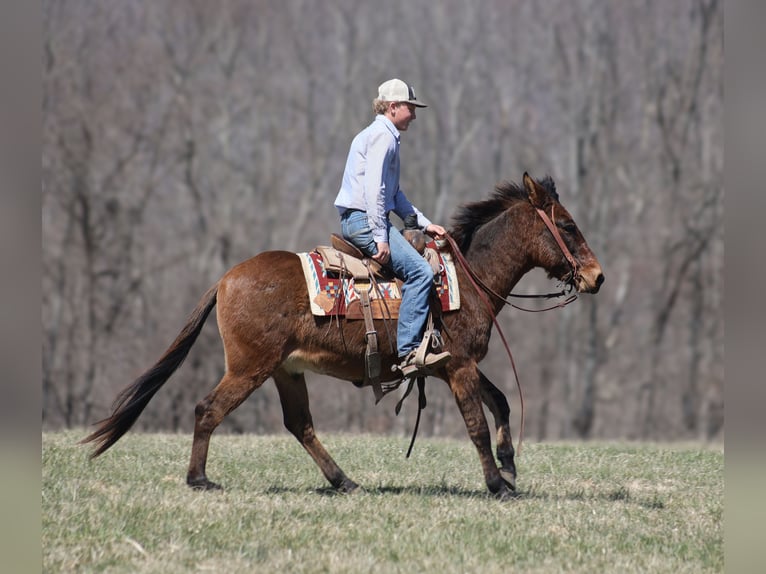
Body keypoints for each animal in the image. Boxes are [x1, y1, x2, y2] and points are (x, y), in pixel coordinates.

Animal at [83, 173, 604, 500]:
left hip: (286, 371)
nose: (597, 277)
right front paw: (497, 485)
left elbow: (501, 402)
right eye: (566, 225)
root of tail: (226, 279)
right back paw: (199, 479)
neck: (466, 278)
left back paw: (343, 481)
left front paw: (509, 465)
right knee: (208, 409)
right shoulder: (458, 368)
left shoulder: (450, 366)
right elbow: (476, 423)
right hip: (250, 368)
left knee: (300, 425)